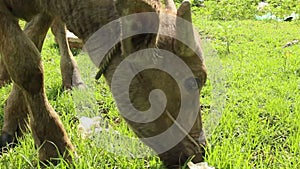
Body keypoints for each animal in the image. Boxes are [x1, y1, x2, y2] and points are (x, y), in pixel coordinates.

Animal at [0, 0, 206, 168]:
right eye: (193, 81)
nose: (200, 151)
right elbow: (27, 67)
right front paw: (55, 148)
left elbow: (34, 40)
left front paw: (17, 120)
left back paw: (72, 77)